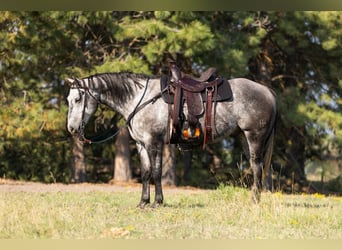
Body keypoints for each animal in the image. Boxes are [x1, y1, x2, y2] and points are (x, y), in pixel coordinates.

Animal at [65, 72, 276, 207]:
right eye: (68, 100)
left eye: (77, 99)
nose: (72, 128)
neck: (138, 99)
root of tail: (268, 91)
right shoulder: (141, 145)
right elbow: (146, 173)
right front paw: (143, 202)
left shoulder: (153, 142)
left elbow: (157, 172)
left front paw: (157, 203)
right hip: (243, 137)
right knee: (257, 169)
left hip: (254, 137)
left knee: (257, 168)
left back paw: (254, 201)